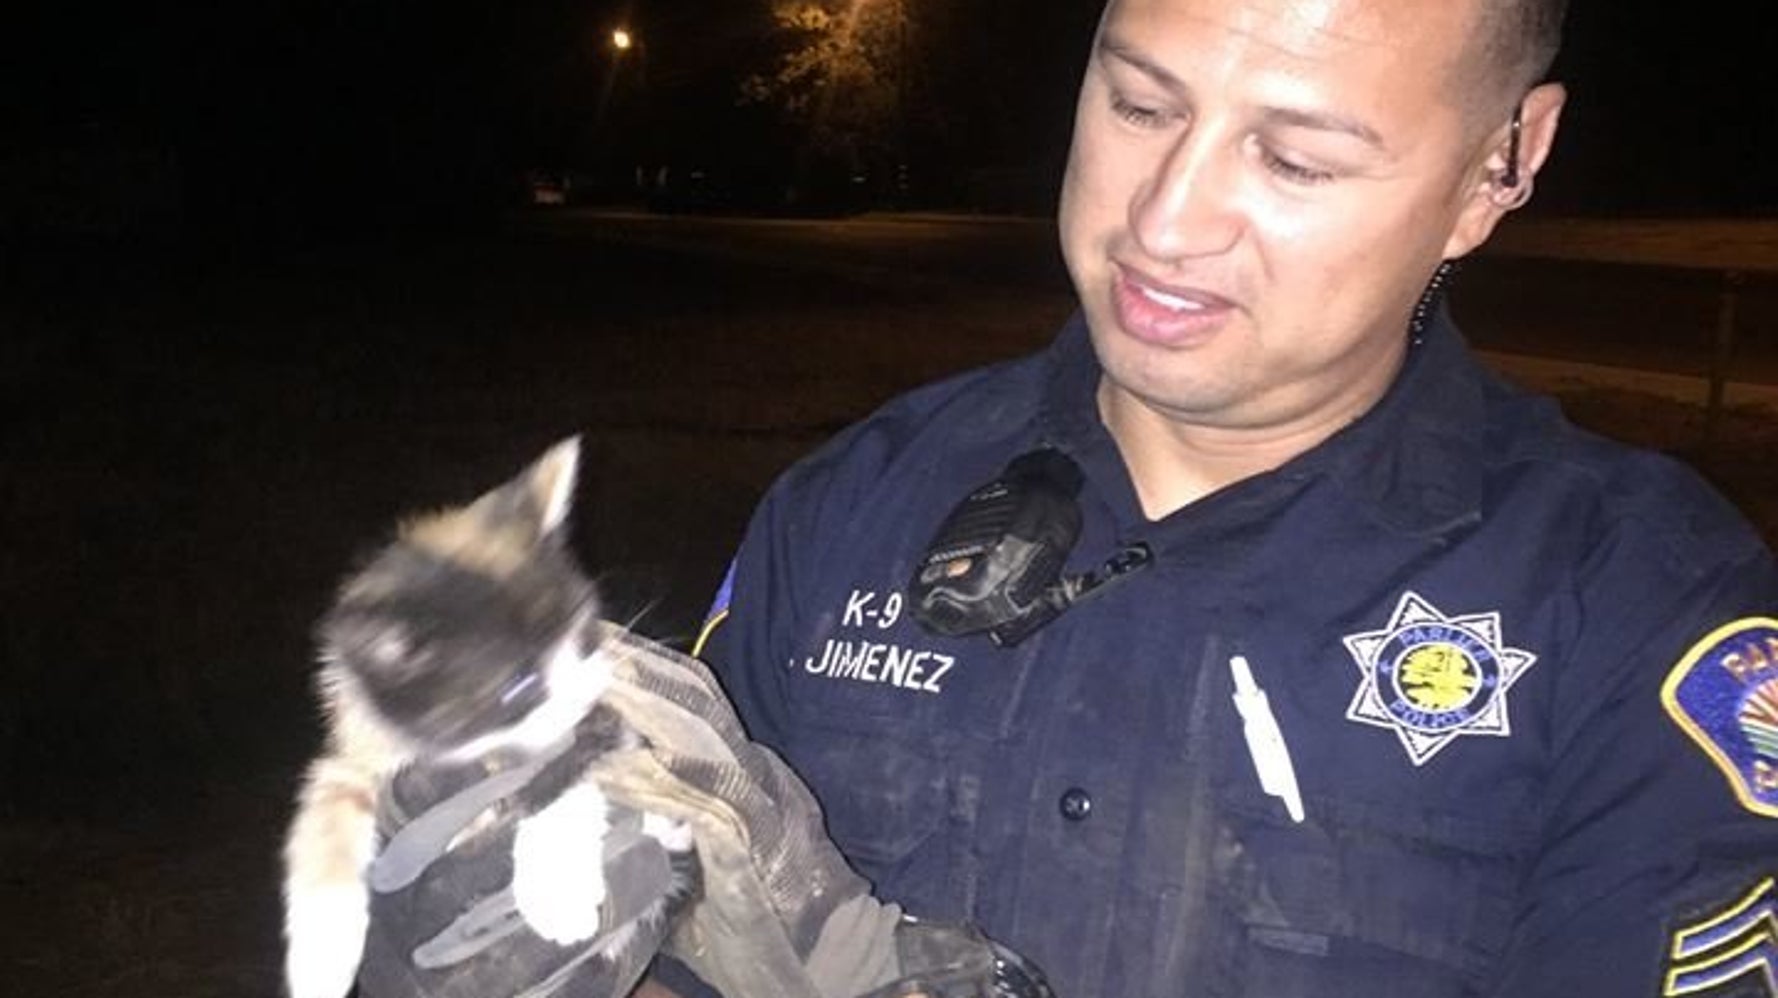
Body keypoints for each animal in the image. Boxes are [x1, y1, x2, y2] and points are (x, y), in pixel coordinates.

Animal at [280, 439, 689, 996]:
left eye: (582, 635)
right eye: (520, 685)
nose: (590, 688)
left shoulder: (607, 730)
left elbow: (576, 775)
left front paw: (557, 893)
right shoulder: (363, 739)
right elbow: (328, 799)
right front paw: (319, 957)